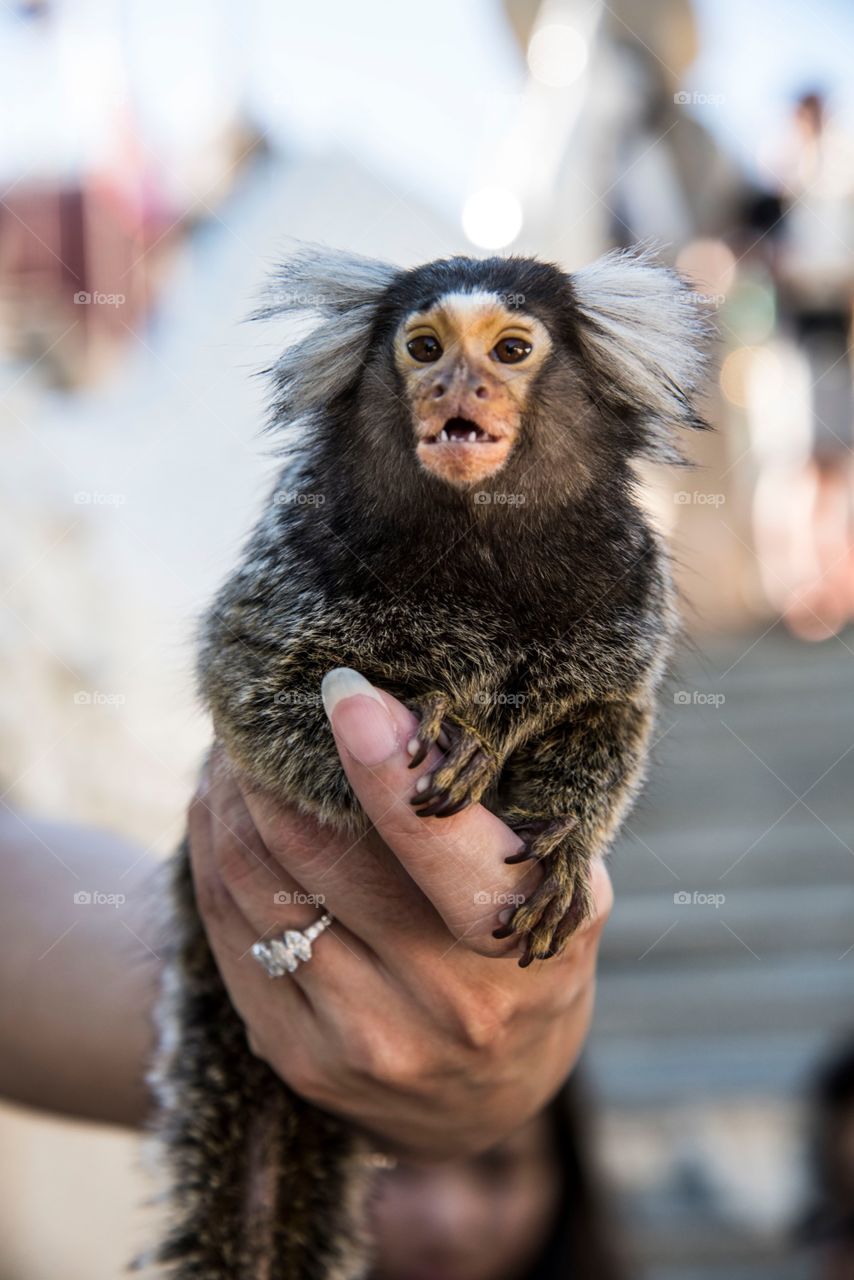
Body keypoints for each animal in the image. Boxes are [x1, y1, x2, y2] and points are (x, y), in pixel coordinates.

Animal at [146, 243, 711, 1279]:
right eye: (423, 348)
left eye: (512, 349)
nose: (458, 386)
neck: (478, 543)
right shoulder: (290, 574)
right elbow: (249, 686)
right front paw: (451, 734)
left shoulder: (627, 595)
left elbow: (610, 717)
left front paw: (566, 840)